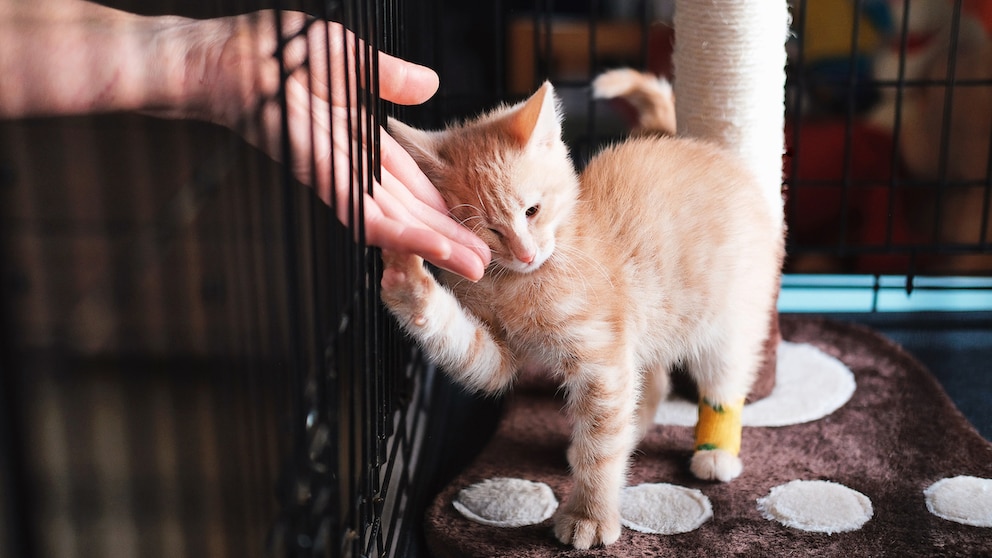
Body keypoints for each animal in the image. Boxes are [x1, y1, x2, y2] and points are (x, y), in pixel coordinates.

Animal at [380, 81, 784, 548]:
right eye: (488, 230)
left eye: (532, 211)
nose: (525, 253)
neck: (519, 281)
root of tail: (695, 145)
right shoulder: (502, 356)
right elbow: (468, 348)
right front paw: (405, 276)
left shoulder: (601, 359)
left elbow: (601, 450)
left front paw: (590, 515)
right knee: (652, 382)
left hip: (729, 317)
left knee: (723, 380)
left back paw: (716, 452)